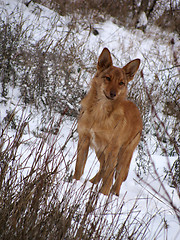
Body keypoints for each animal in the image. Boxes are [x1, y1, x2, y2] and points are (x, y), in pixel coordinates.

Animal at [73, 47, 142, 196]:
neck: (100, 113)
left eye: (121, 83)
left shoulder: (112, 149)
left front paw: (103, 195)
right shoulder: (84, 140)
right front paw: (73, 182)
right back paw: (92, 182)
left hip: (123, 155)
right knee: (103, 168)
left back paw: (113, 195)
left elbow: (109, 177)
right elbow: (79, 168)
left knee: (118, 178)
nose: (113, 94)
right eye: (108, 78)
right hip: (100, 151)